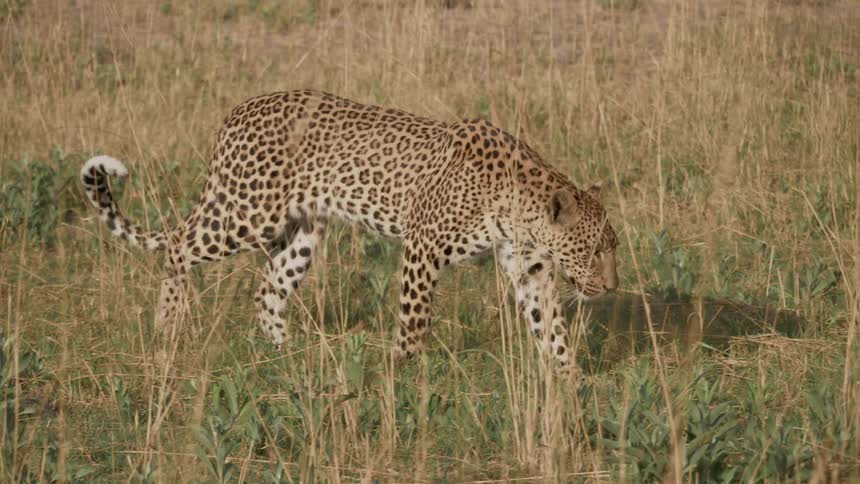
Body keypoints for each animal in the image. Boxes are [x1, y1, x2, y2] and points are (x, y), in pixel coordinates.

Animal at [80, 89, 619, 375]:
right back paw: (166, 329)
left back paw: (287, 355)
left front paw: (569, 379)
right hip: (245, 214)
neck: (520, 205)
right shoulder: (422, 246)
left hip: (299, 234)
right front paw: (403, 372)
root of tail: (237, 112)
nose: (612, 288)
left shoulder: (529, 266)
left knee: (267, 289)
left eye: (609, 248)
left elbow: (549, 324)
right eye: (593, 250)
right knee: (176, 248)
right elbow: (415, 318)